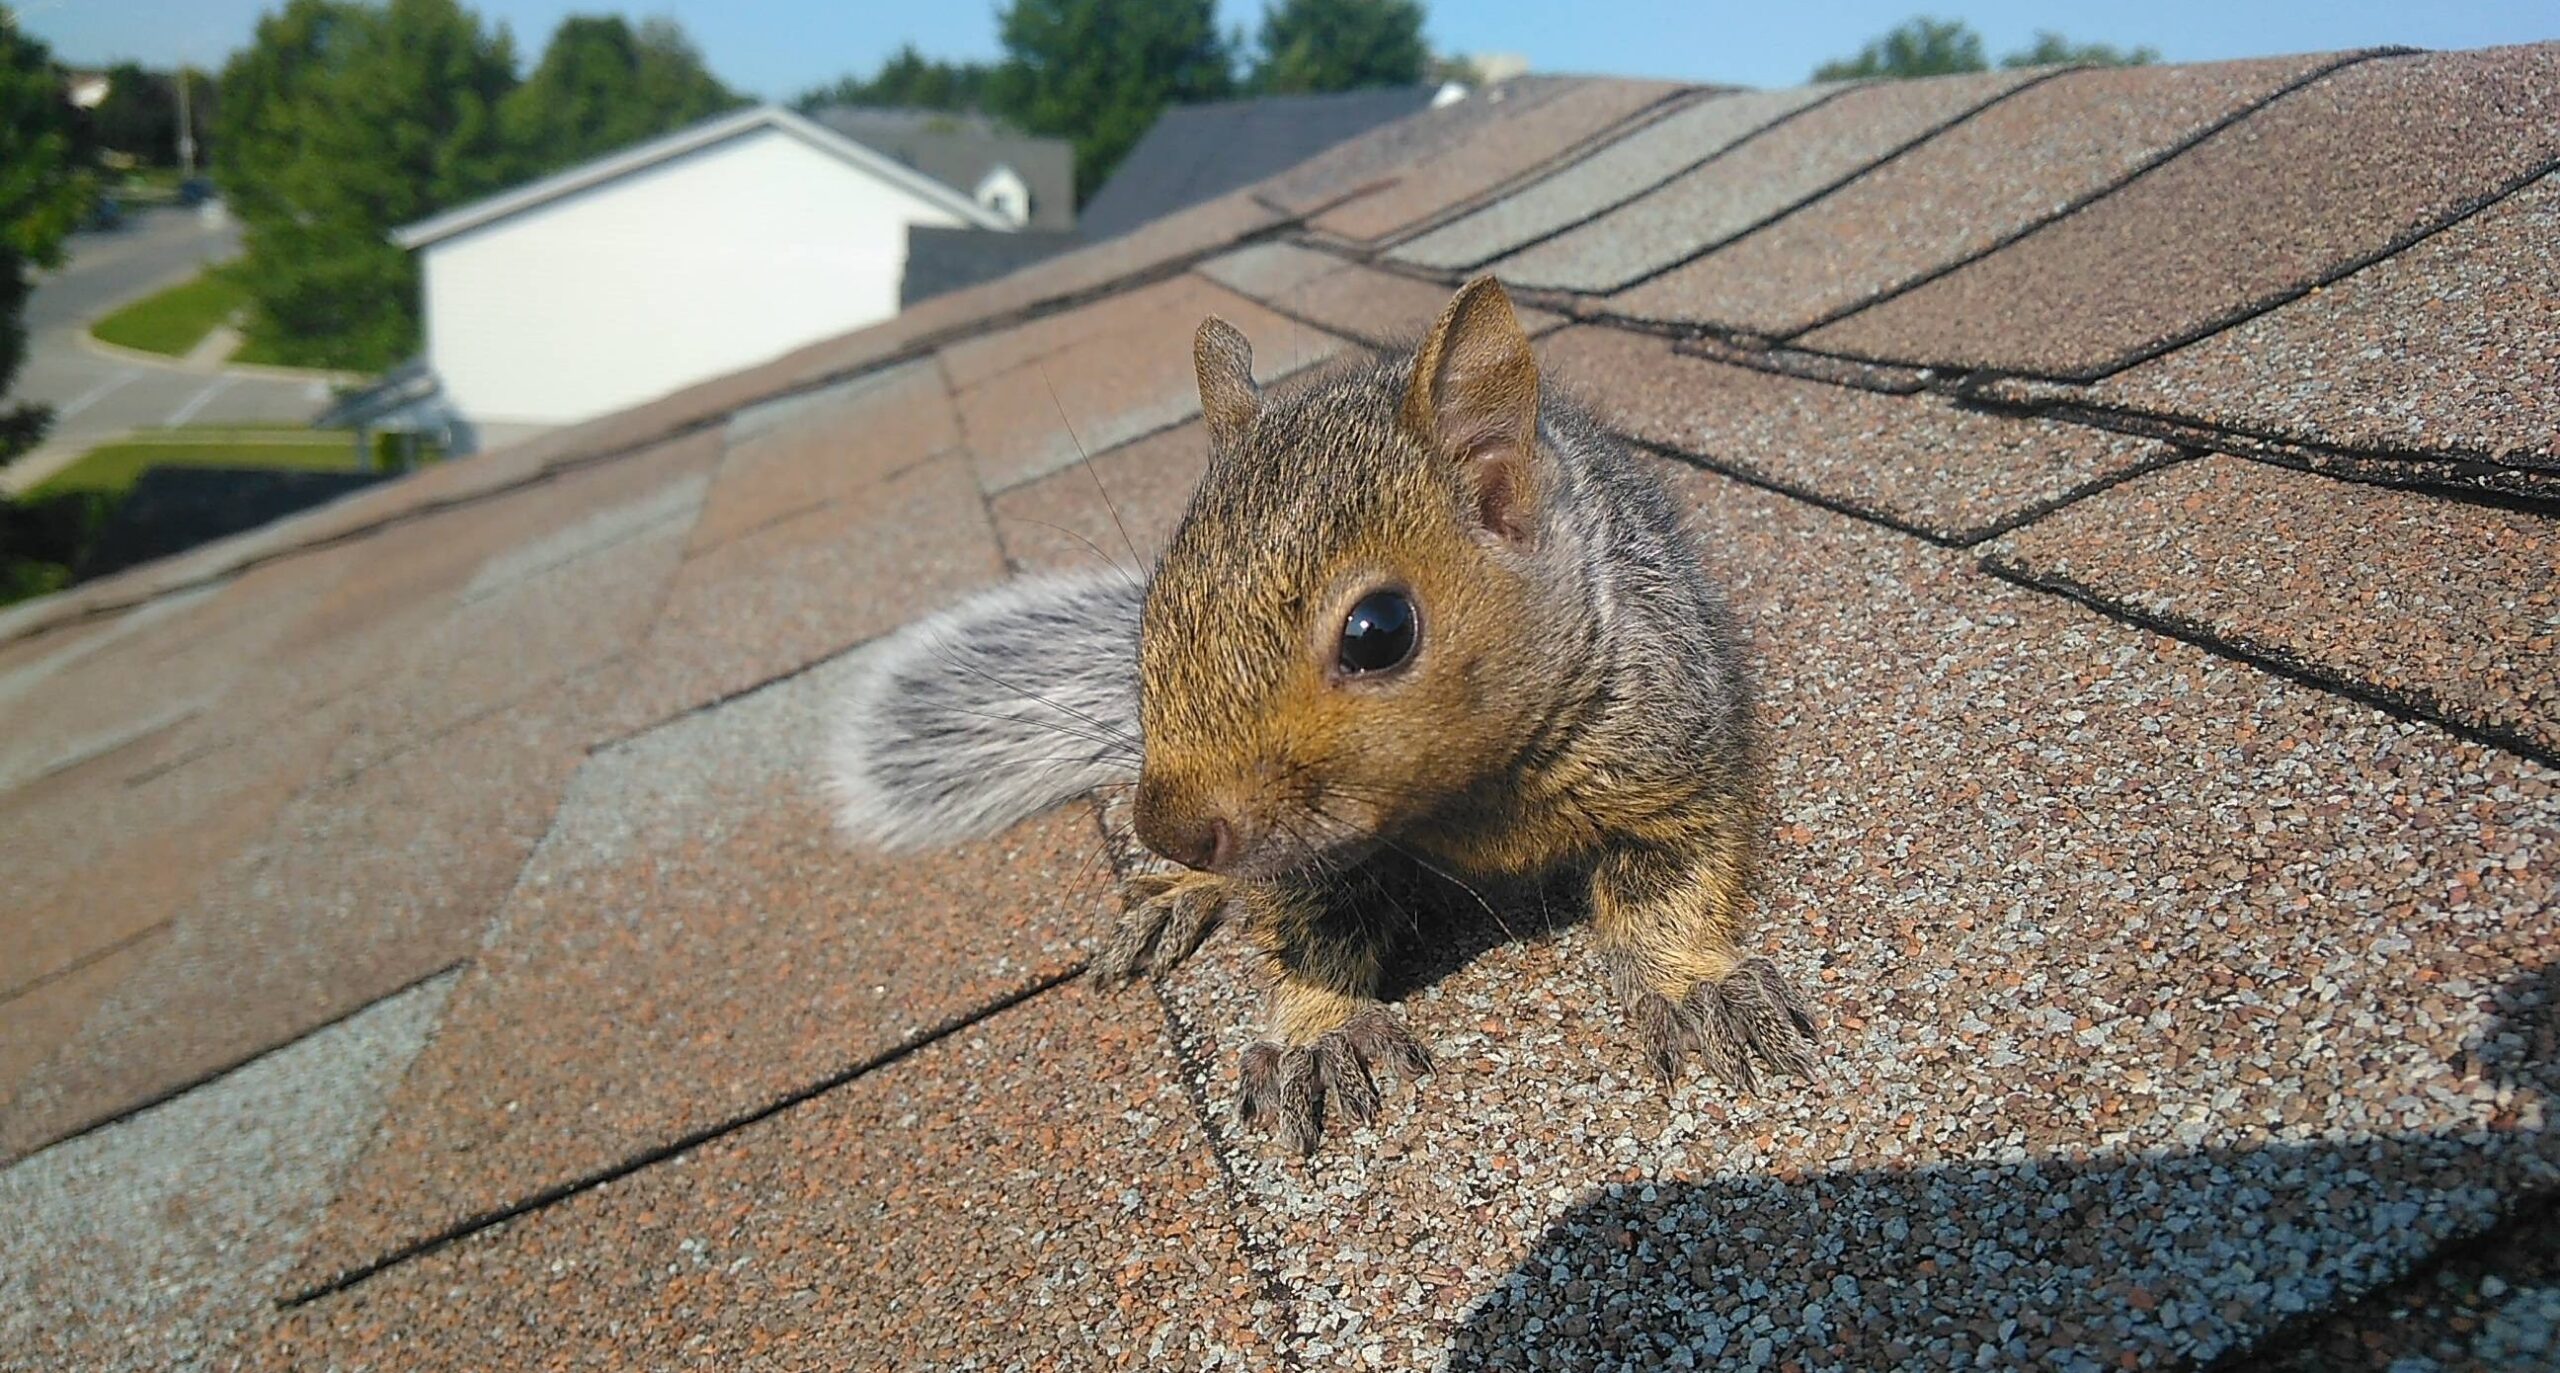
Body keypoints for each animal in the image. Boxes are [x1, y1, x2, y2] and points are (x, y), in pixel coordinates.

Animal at [829, 276, 1812, 1147]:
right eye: (1153, 611)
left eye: (1380, 631)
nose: (1168, 828)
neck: (1468, 793)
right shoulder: (1309, 857)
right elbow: (1312, 928)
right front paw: (1318, 1030)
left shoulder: (1670, 749)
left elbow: (1671, 879)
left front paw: (1694, 985)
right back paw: (1180, 895)